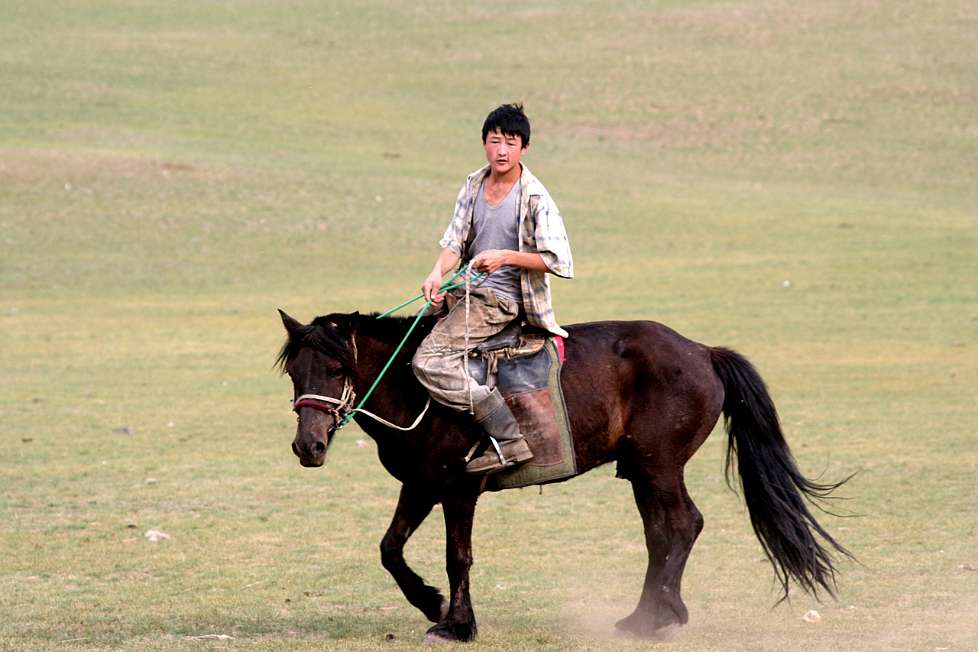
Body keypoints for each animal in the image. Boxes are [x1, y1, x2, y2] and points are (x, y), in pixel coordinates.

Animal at [274, 310, 848, 640]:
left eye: (337, 369)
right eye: (294, 371)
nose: (308, 446)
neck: (420, 389)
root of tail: (703, 352)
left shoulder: (459, 489)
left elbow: (457, 557)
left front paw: (457, 625)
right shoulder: (420, 485)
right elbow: (390, 549)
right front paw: (430, 602)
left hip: (658, 467)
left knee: (682, 525)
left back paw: (657, 618)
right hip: (642, 474)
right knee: (661, 533)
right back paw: (645, 615)